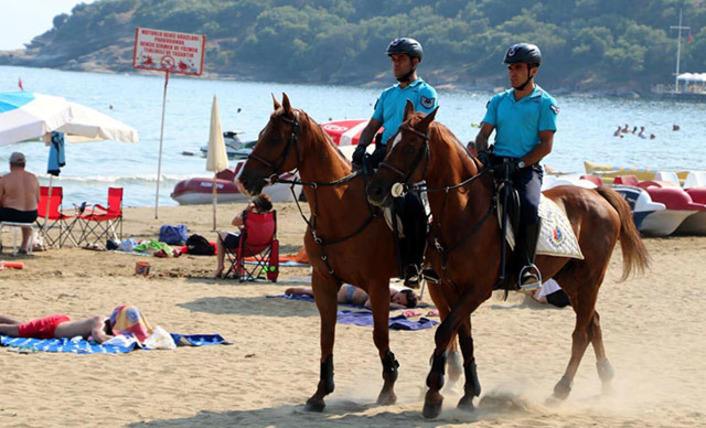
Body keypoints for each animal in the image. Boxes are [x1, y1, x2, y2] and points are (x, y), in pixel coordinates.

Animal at [234, 93, 460, 412]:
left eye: (276, 137)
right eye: (262, 133)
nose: (244, 181)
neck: (341, 207)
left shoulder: (377, 285)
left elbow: (380, 335)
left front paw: (389, 384)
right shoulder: (324, 282)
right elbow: (326, 336)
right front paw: (320, 391)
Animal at [366, 103, 648, 418]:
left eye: (410, 146)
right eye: (389, 142)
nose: (375, 190)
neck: (464, 211)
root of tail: (596, 195)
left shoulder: (477, 290)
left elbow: (444, 332)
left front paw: (434, 394)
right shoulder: (452, 287)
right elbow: (464, 336)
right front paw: (469, 393)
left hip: (589, 278)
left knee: (580, 334)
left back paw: (561, 390)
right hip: (570, 278)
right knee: (593, 323)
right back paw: (606, 380)